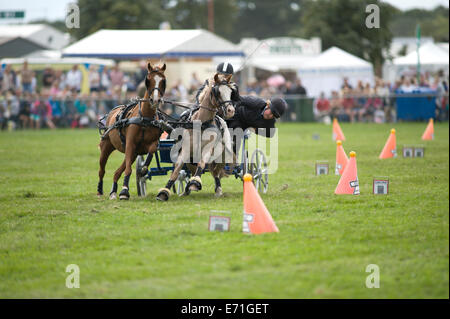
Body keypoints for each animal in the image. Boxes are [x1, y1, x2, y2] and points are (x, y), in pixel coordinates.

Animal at [97, 62, 167, 200]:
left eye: (163, 81)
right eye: (148, 80)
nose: (155, 100)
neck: (144, 118)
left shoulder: (147, 145)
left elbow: (152, 150)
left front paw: (144, 168)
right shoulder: (130, 143)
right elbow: (129, 169)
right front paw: (124, 191)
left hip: (133, 154)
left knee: (117, 171)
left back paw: (113, 191)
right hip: (106, 147)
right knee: (102, 170)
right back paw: (100, 190)